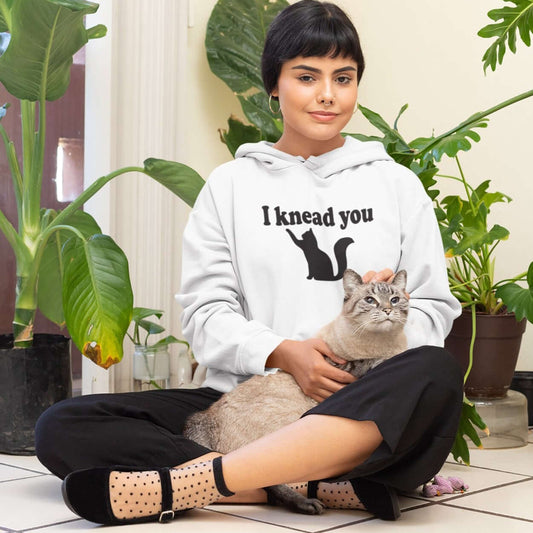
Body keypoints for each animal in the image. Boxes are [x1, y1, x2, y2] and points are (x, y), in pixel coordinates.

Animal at [183, 268, 408, 512]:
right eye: (370, 300)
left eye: (395, 300)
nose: (387, 310)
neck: (383, 341)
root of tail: (208, 417)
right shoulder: (344, 366)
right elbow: (375, 361)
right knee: (261, 475)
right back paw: (308, 503)